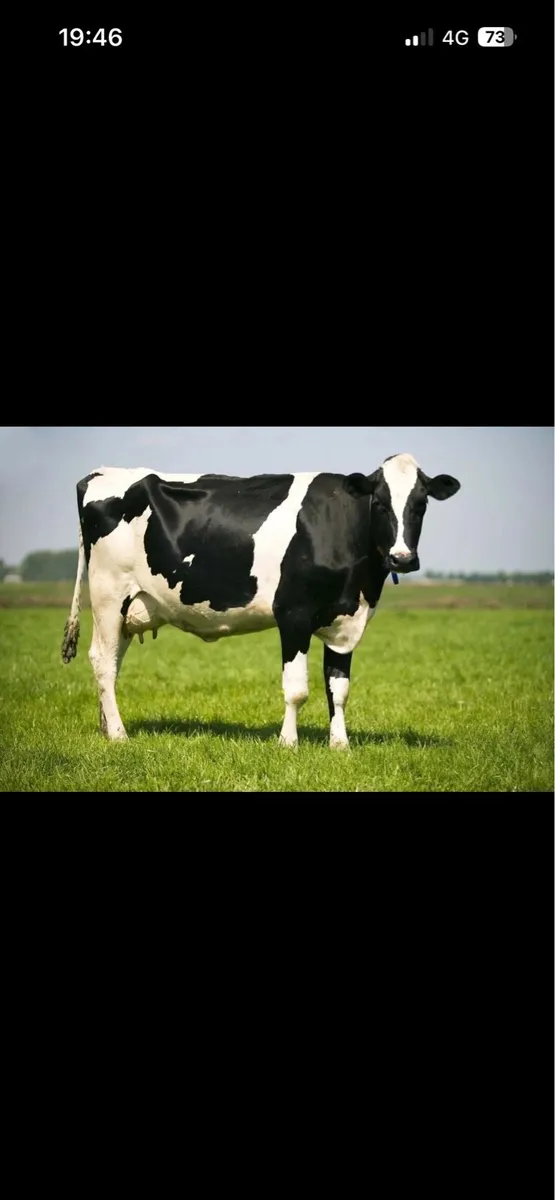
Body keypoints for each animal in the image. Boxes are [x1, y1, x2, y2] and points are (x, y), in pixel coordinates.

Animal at [61, 453, 460, 748]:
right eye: (380, 503)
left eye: (421, 504)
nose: (402, 558)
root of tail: (100, 473)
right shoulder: (294, 614)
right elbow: (297, 689)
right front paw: (288, 743)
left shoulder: (347, 621)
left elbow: (339, 688)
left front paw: (340, 745)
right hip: (109, 594)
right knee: (102, 661)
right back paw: (118, 735)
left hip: (131, 606)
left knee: (112, 663)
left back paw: (106, 727)